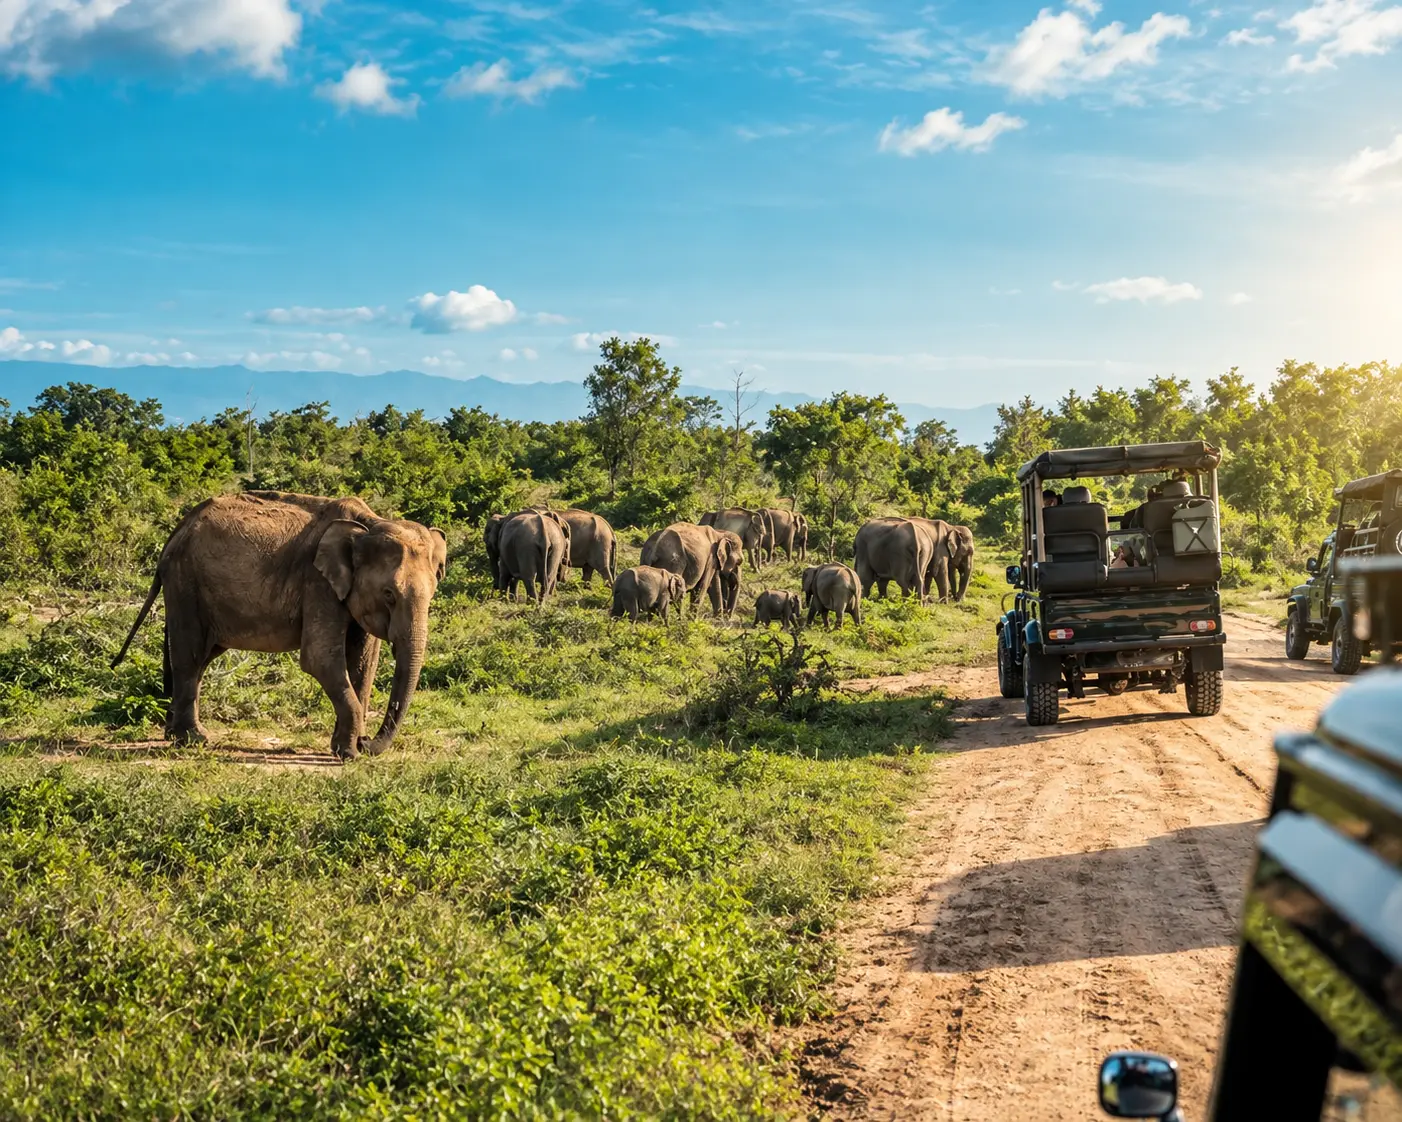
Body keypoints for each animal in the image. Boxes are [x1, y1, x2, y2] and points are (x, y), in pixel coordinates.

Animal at [109, 490, 446, 760]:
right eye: (389, 594)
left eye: (433, 591)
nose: (368, 742)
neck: (369, 523)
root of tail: (176, 531)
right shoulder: (317, 583)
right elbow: (320, 659)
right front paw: (350, 754)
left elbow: (364, 664)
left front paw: (345, 749)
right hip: (184, 583)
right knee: (189, 656)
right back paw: (192, 740)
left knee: (202, 657)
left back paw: (173, 733)